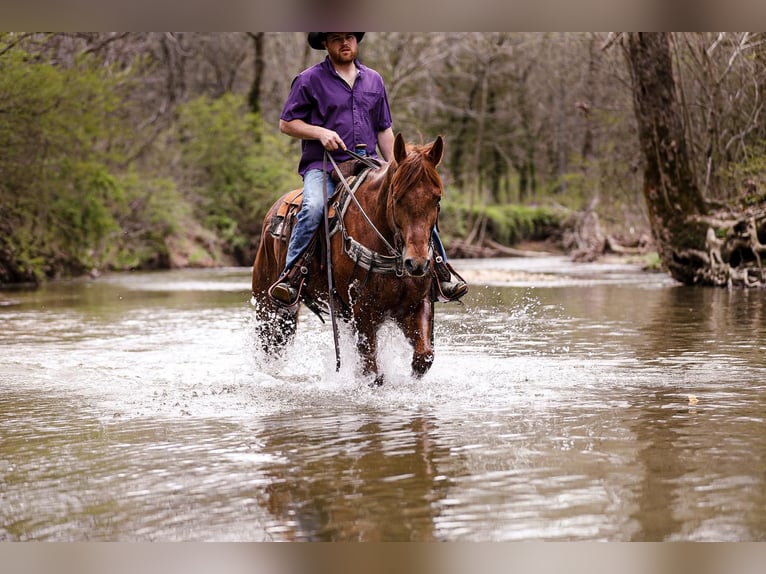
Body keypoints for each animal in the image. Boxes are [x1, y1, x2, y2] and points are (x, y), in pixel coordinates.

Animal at [252, 134, 444, 388]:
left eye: (437, 198)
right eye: (397, 197)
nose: (417, 263)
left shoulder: (417, 304)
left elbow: (424, 357)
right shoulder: (363, 310)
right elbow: (372, 371)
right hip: (266, 301)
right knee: (265, 343)